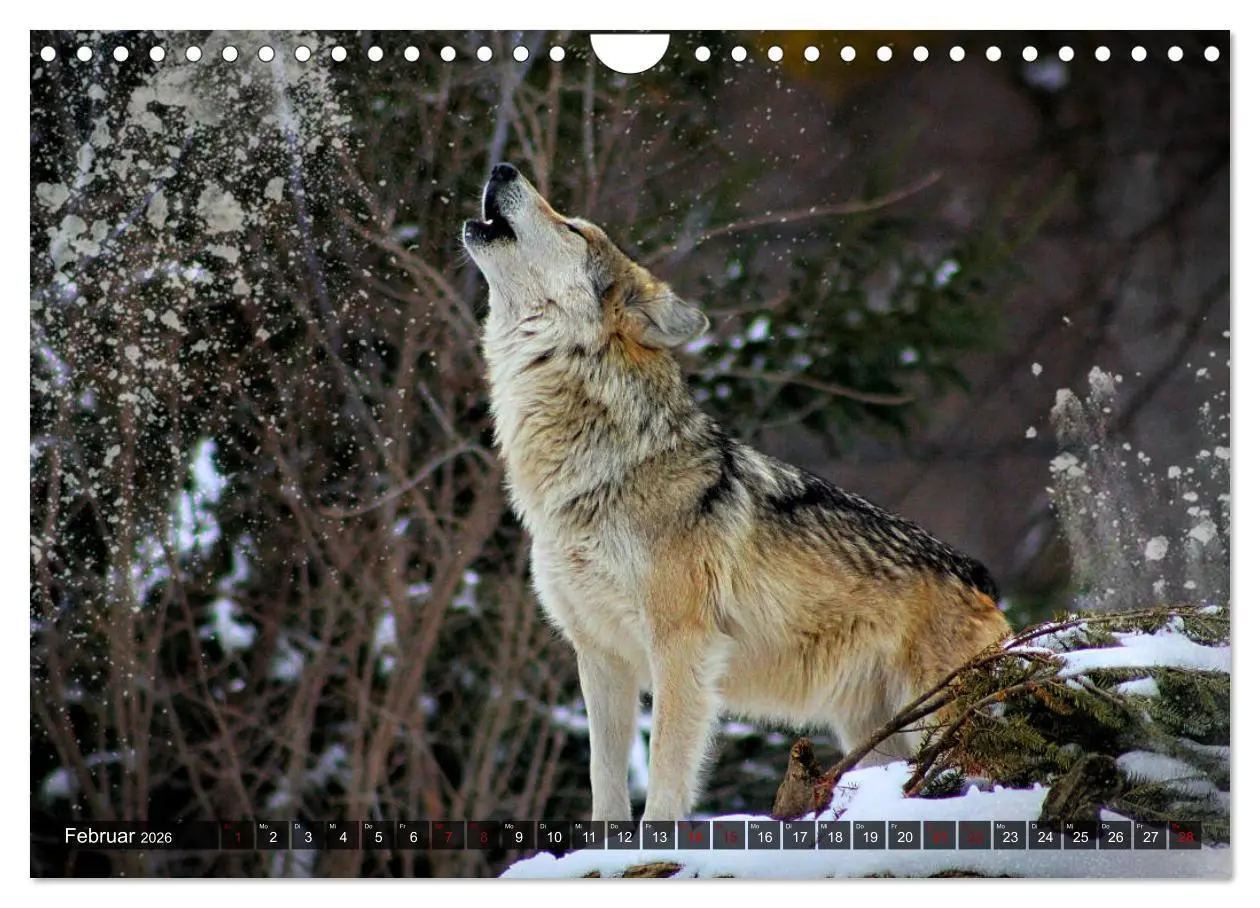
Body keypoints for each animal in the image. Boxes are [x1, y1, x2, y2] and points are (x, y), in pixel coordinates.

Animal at [462, 163, 1010, 821]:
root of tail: (981, 579)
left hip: (936, 723)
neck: (598, 468)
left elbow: (666, 779)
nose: (502, 168)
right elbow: (605, 784)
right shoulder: (599, 656)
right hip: (873, 736)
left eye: (573, 227)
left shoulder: (682, 649)